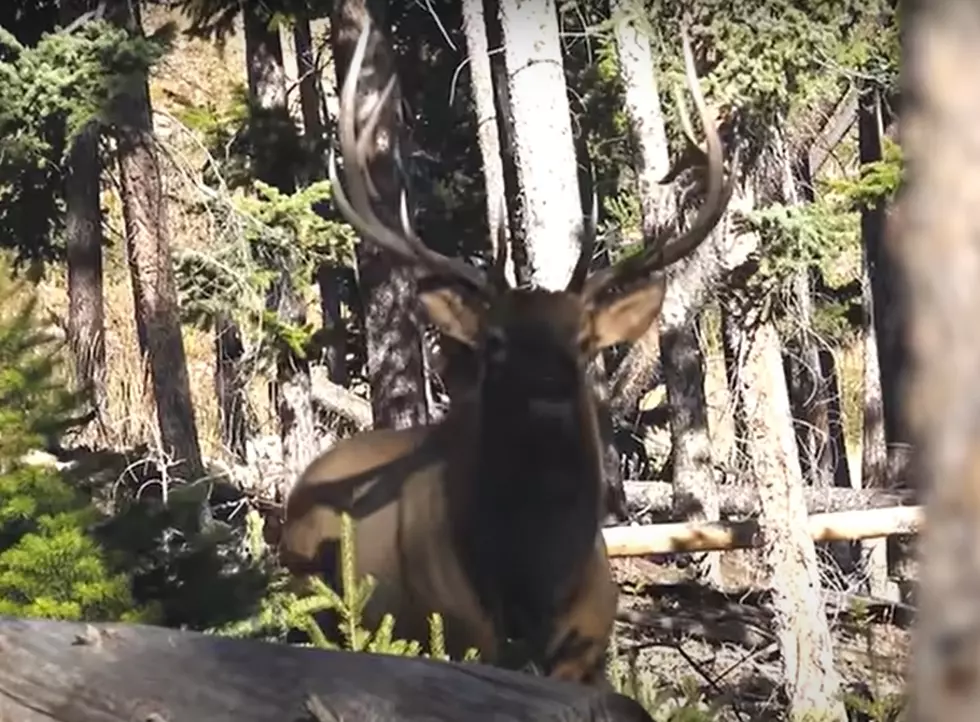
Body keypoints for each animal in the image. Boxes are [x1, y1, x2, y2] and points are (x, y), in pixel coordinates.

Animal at [278, 13, 739, 686]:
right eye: (494, 341)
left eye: (584, 340)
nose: (547, 394)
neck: (536, 588)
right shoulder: (458, 633)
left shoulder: (588, 650)